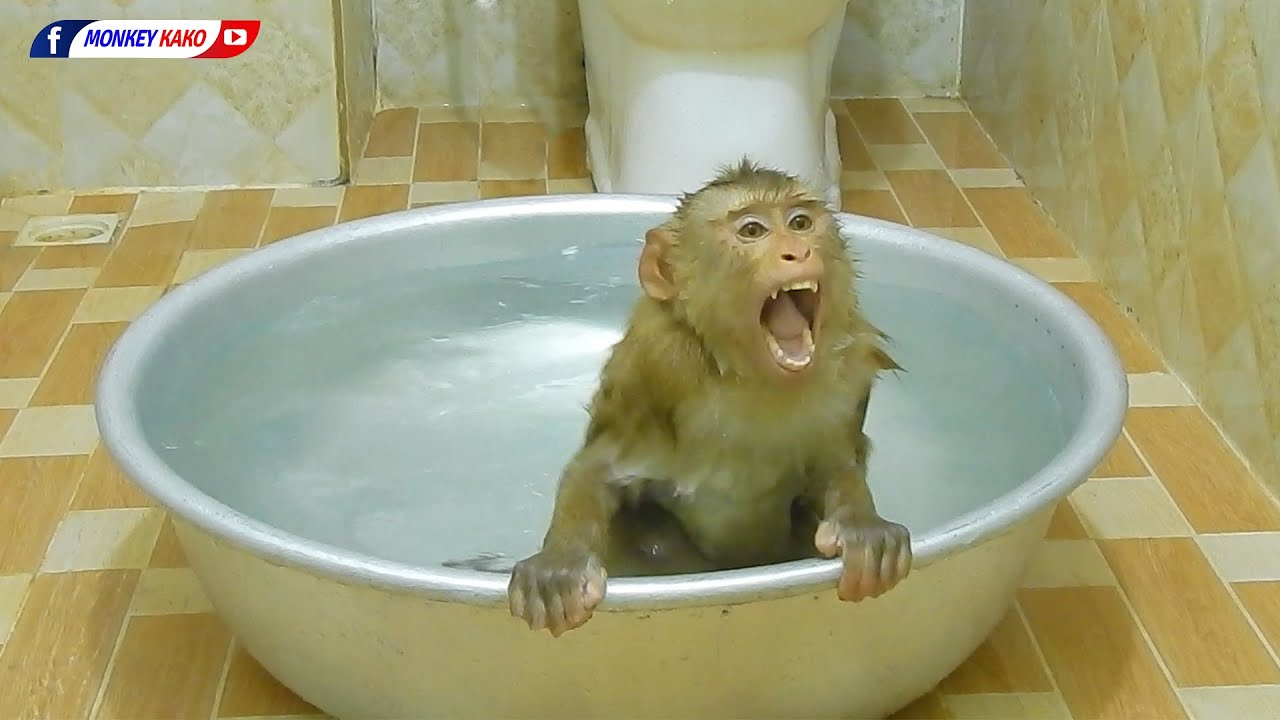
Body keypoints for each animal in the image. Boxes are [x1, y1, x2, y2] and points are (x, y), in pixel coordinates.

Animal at [500, 159, 911, 636]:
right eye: (752, 231)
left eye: (800, 223)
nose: (798, 252)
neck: (750, 379)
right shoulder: (653, 372)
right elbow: (598, 471)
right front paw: (559, 564)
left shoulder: (848, 375)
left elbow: (834, 467)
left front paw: (863, 527)